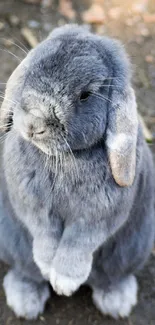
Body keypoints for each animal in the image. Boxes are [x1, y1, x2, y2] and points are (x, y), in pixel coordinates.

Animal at [0, 25, 154, 318]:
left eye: (85, 95)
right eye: (30, 70)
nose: (34, 124)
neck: (62, 158)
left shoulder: (96, 217)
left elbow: (78, 242)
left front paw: (64, 283)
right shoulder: (33, 207)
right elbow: (44, 233)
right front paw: (47, 267)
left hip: (132, 248)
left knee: (111, 277)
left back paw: (117, 302)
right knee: (26, 272)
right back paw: (25, 301)